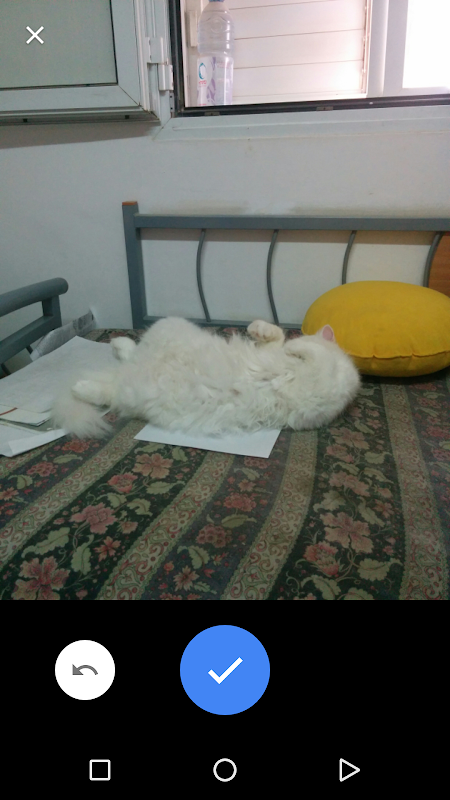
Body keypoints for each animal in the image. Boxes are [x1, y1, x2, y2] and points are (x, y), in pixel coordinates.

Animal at [51, 317, 360, 439]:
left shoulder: (323, 384)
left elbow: (308, 351)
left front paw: (294, 349)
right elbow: (277, 335)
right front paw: (260, 330)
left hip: (136, 385)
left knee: (108, 388)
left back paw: (82, 386)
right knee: (129, 354)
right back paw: (117, 345)